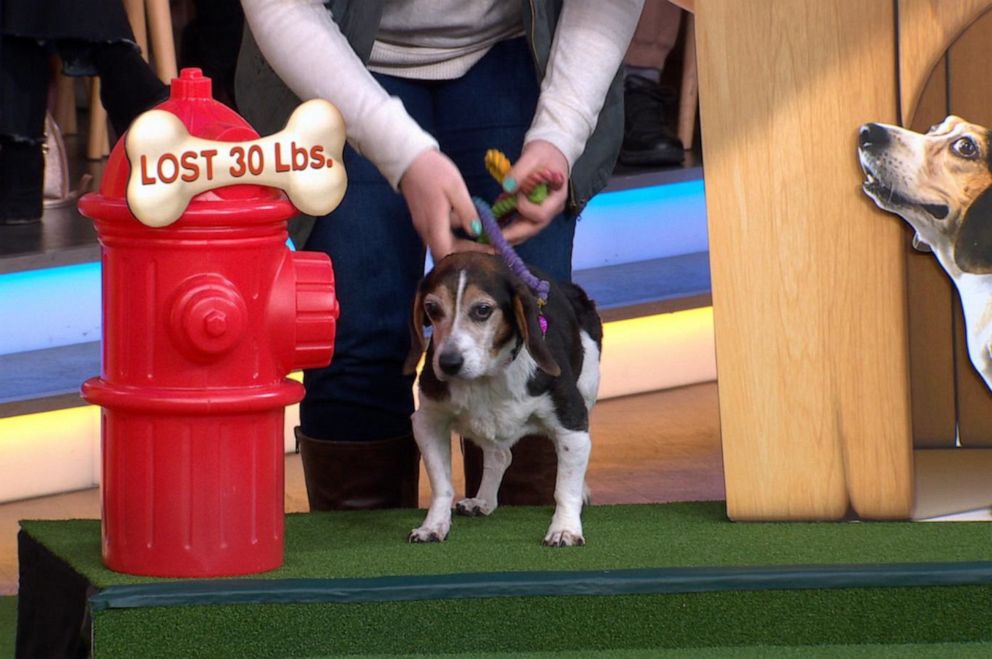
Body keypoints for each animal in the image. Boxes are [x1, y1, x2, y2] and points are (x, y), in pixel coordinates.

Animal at [404, 253, 604, 548]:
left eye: (482, 310)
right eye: (432, 308)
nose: (449, 363)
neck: (486, 376)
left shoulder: (572, 422)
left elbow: (565, 488)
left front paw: (565, 528)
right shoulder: (427, 423)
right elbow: (442, 487)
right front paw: (433, 526)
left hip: (588, 388)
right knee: (500, 455)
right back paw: (484, 500)